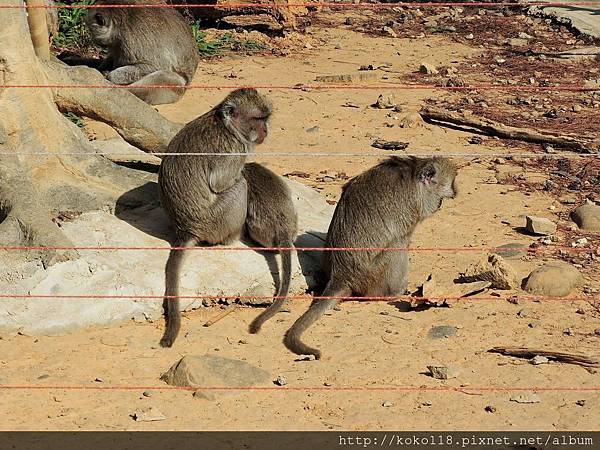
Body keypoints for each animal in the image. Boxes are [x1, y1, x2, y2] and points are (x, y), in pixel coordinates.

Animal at [158, 89, 274, 348]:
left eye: (265, 118)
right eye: (257, 119)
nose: (265, 130)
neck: (228, 125)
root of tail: (186, 229)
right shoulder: (233, 149)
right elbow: (221, 182)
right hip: (215, 221)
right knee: (239, 187)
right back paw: (234, 236)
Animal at [284, 156, 458, 360]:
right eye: (445, 191)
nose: (453, 194)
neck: (413, 173)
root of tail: (340, 275)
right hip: (372, 275)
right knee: (397, 244)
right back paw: (394, 293)